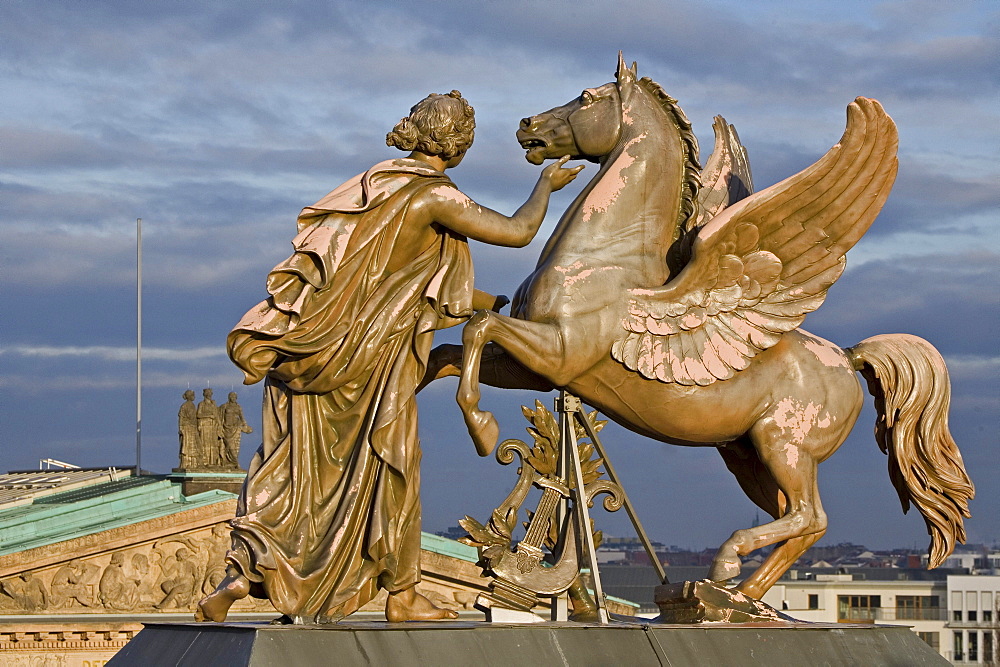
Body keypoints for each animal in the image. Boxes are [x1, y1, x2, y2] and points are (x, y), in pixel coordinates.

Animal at [452, 56, 968, 600]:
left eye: (588, 97)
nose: (525, 124)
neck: (602, 258)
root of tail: (850, 358)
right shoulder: (534, 368)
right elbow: (454, 351)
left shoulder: (560, 352)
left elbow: (480, 326)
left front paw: (483, 430)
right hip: (749, 458)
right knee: (799, 524)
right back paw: (735, 596)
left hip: (785, 446)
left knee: (811, 517)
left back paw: (725, 568)